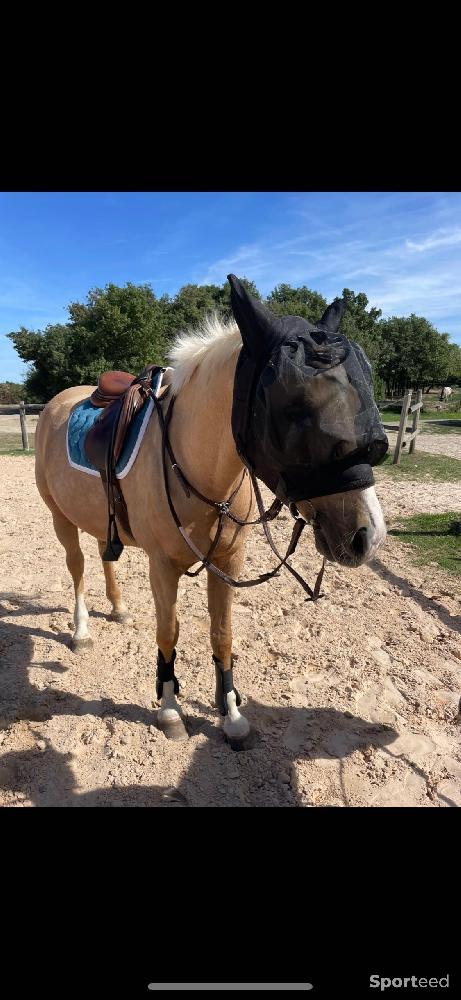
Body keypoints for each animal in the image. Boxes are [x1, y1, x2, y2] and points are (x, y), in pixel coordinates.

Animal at [36, 278, 386, 748]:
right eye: (294, 410)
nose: (367, 535)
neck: (193, 461)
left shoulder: (227, 561)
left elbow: (222, 634)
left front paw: (232, 714)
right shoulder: (162, 566)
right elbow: (169, 632)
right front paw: (169, 710)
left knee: (103, 554)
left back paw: (119, 608)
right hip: (61, 518)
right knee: (76, 567)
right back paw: (81, 630)